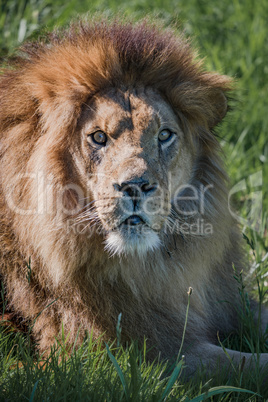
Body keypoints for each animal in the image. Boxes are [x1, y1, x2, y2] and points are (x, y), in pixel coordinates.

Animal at [0, 18, 266, 376]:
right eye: (99, 137)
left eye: (164, 135)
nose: (135, 186)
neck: (151, 266)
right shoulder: (153, 354)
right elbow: (249, 366)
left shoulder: (231, 302)